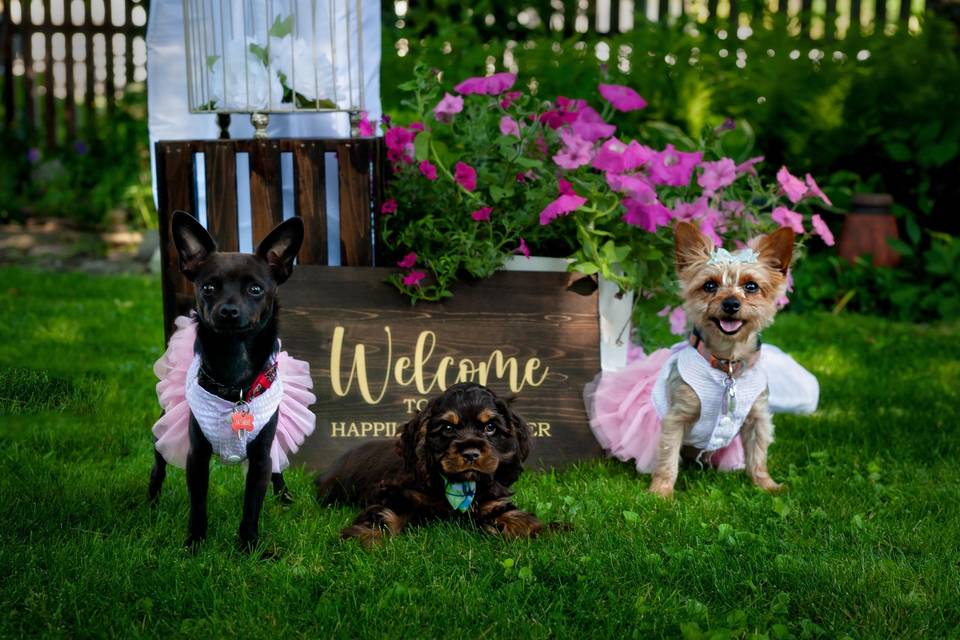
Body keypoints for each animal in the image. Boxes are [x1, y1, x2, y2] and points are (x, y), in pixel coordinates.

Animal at [150, 210, 302, 552]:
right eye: (208, 287)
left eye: (256, 290)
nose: (228, 311)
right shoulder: (196, 457)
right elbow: (198, 504)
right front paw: (194, 544)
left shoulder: (260, 459)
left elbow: (251, 505)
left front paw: (248, 547)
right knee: (159, 462)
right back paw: (150, 501)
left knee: (278, 466)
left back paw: (284, 497)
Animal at [316, 382, 540, 544]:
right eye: (448, 428)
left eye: (490, 427)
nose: (470, 454)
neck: (458, 486)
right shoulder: (397, 492)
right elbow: (384, 512)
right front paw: (366, 536)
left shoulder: (491, 500)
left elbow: (508, 512)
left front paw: (533, 527)